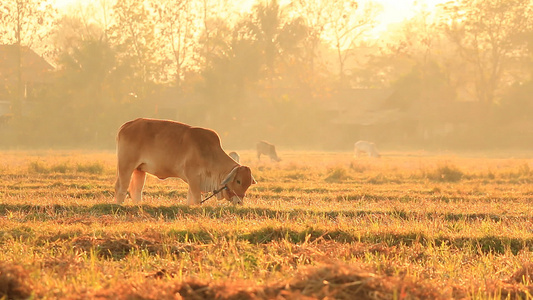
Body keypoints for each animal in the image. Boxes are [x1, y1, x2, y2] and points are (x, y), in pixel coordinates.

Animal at [114, 118, 256, 205]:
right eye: (238, 181)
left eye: (248, 184)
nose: (239, 202)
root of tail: (128, 124)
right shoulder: (193, 177)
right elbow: (197, 199)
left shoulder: (195, 181)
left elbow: (190, 199)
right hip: (126, 166)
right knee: (121, 188)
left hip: (139, 170)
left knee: (136, 190)